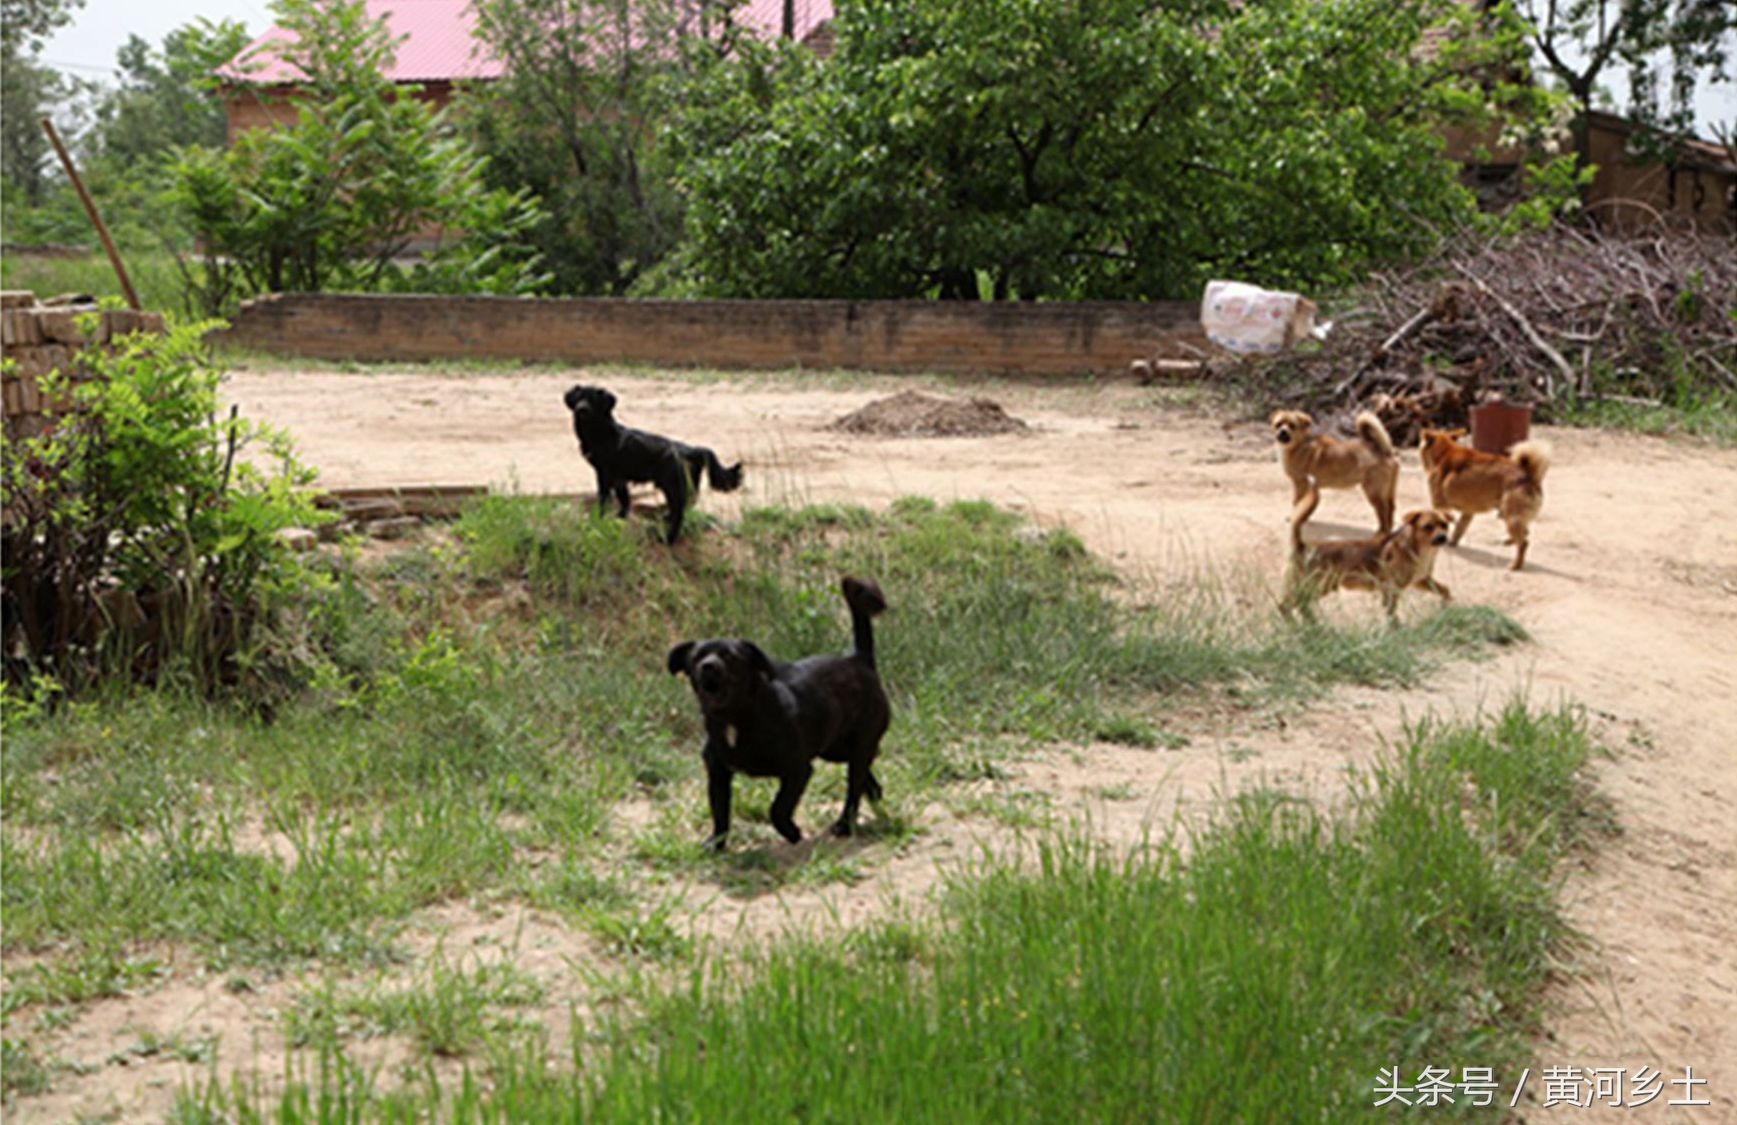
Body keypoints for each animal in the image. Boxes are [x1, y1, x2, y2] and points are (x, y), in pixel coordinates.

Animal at [562, 387, 739, 545]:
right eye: (578, 397)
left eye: (593, 400)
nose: (581, 409)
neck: (602, 432)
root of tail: (693, 450)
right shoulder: (619, 477)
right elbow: (624, 499)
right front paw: (620, 518)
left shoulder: (604, 474)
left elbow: (604, 500)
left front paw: (600, 520)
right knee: (682, 508)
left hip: (673, 486)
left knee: (679, 514)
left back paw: (668, 539)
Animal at [667, 576, 896, 847]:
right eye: (696, 657)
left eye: (729, 656)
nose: (708, 666)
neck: (736, 719)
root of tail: (859, 659)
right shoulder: (718, 773)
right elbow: (720, 813)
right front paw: (716, 843)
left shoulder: (798, 771)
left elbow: (777, 808)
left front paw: (791, 832)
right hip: (834, 748)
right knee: (862, 776)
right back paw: (874, 795)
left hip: (858, 742)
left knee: (854, 785)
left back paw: (844, 825)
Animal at [1271, 411, 1403, 534]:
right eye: (1278, 425)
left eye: (1292, 426)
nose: (1283, 432)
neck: (1300, 445)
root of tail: (1385, 451)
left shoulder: (1300, 484)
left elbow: (1297, 502)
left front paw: (1294, 516)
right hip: (1388, 492)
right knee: (1391, 508)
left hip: (1373, 492)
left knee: (1383, 512)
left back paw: (1381, 532)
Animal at [1278, 475, 1452, 625]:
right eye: (1428, 527)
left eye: (1444, 525)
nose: (1442, 537)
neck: (1421, 550)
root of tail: (1302, 545)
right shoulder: (1390, 589)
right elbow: (1391, 612)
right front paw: (1396, 629)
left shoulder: (1421, 580)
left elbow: (1445, 589)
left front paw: (1447, 606)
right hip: (1314, 586)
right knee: (1287, 605)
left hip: (1320, 587)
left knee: (1301, 605)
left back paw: (1313, 626)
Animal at [1417, 430, 1556, 572]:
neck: (1444, 453)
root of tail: (1529, 476)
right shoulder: (1468, 512)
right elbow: (1459, 529)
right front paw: (1452, 542)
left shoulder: (1439, 505)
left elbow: (1448, 522)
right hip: (1509, 515)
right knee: (1525, 533)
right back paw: (1508, 541)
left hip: (1512, 518)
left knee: (1524, 543)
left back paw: (1515, 565)